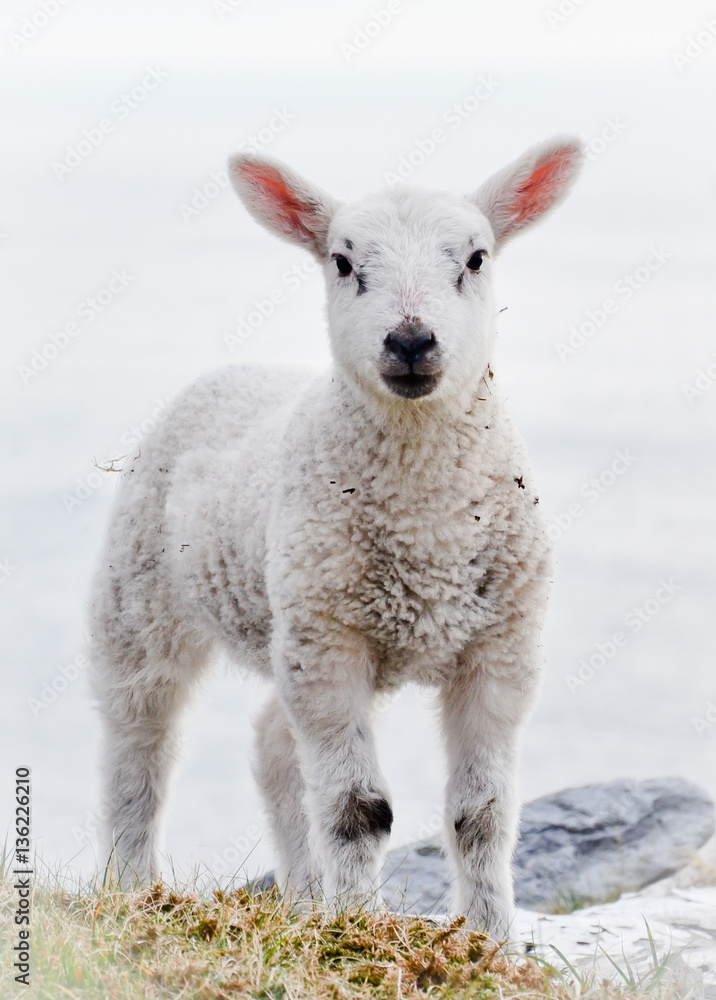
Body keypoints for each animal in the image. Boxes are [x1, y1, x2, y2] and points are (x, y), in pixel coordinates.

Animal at [89, 136, 583, 939]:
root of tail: (240, 370)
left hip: (294, 631)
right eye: (345, 262)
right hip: (142, 596)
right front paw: (355, 934)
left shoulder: (500, 647)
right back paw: (133, 890)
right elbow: (358, 811)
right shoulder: (331, 646)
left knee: (273, 748)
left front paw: (490, 942)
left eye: (476, 258)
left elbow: (482, 815)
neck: (426, 520)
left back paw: (302, 900)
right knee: (138, 747)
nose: (410, 340)